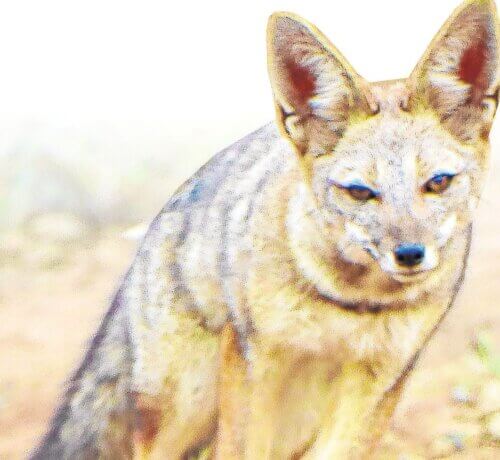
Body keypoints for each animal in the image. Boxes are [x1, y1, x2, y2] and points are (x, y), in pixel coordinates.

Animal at [31, 0, 500, 460]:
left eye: (437, 183)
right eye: (360, 192)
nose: (409, 254)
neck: (352, 303)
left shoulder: (380, 381)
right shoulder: (255, 364)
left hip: (293, 423)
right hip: (185, 407)